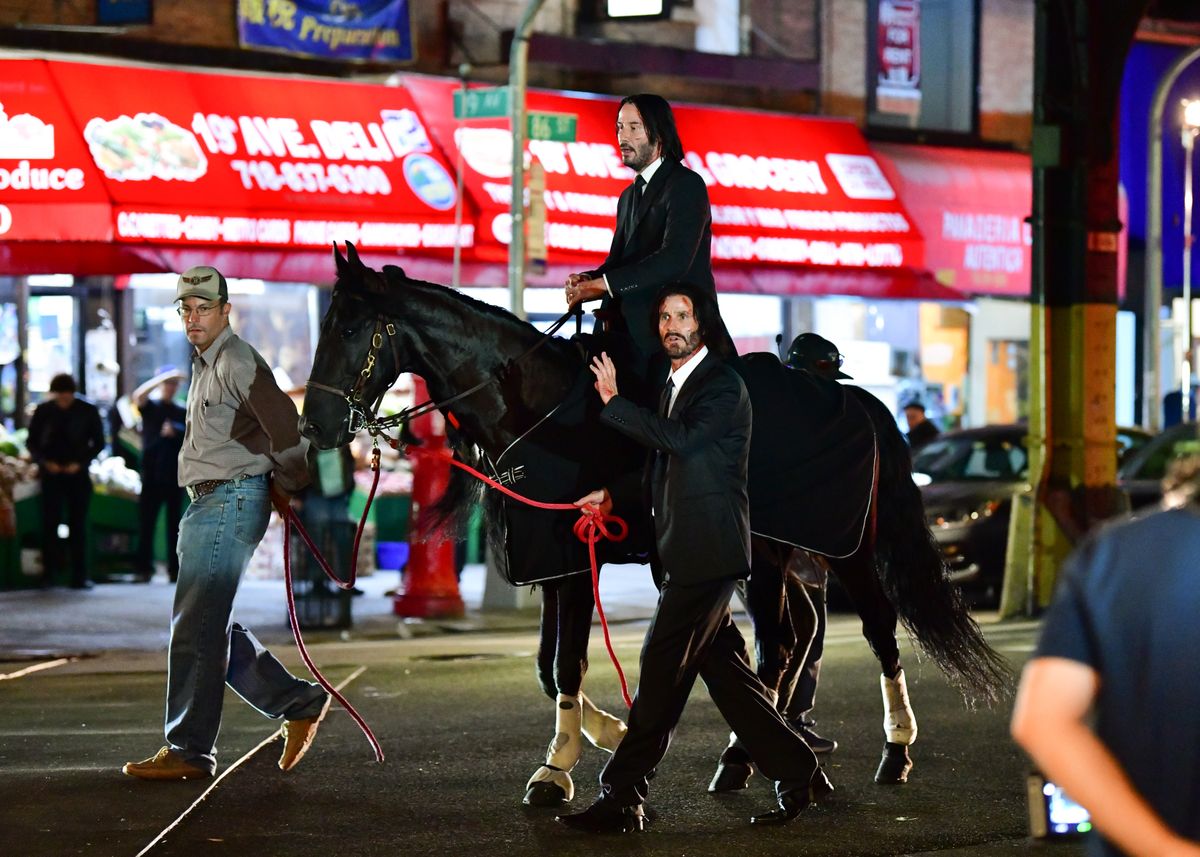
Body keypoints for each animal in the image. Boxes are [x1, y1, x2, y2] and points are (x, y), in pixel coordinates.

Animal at [302, 243, 1012, 806]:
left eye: (350, 327)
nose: (313, 428)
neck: (537, 406)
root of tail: (857, 397)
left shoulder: (575, 562)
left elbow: (565, 666)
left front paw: (557, 768)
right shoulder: (556, 563)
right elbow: (547, 668)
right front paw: (608, 731)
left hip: (845, 549)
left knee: (866, 631)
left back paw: (889, 749)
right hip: (776, 554)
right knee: (796, 638)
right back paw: (764, 751)